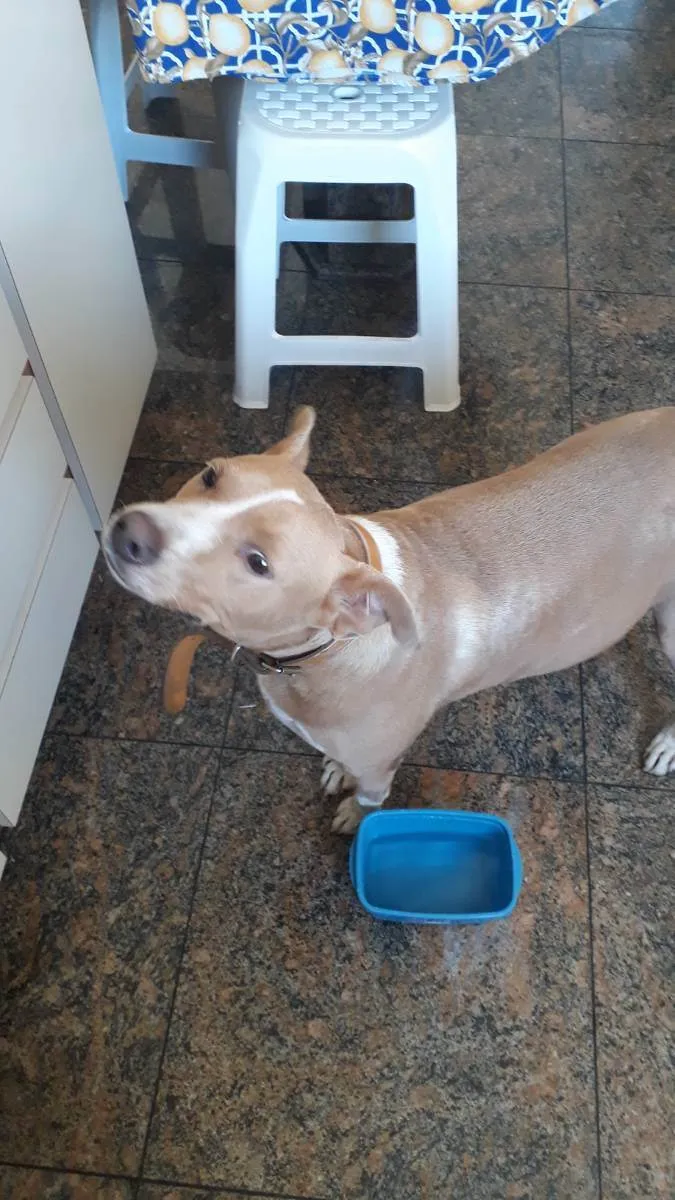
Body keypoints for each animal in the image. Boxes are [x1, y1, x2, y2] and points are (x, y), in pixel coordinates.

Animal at [103, 405, 675, 833]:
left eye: (259, 563)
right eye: (209, 474)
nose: (129, 533)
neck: (322, 653)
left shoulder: (380, 766)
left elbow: (371, 797)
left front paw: (354, 815)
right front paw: (337, 769)